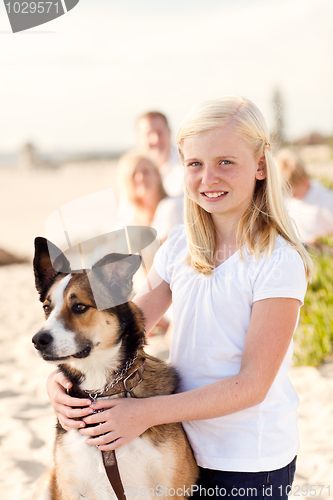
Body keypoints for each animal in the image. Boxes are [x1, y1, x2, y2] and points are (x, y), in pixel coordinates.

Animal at [31, 237, 197, 500]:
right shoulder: (70, 486)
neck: (100, 388)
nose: (38, 340)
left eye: (79, 307)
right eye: (47, 308)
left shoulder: (172, 487)